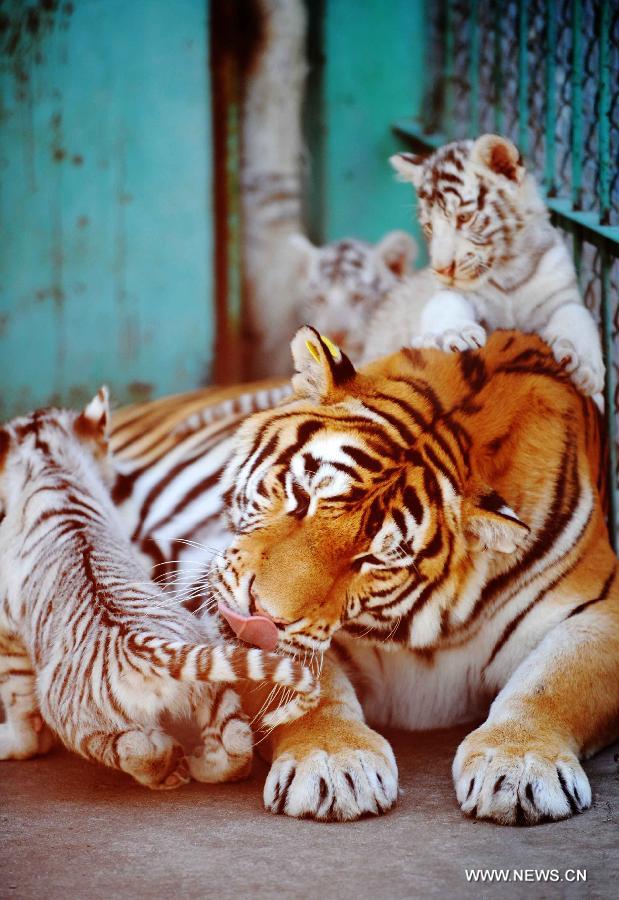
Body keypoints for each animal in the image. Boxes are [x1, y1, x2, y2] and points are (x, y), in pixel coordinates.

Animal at [0, 386, 320, 788]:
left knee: (133, 748)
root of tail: (144, 645)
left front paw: (13, 743)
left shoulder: (6, 629)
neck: (52, 468)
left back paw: (169, 767)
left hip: (79, 718)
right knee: (234, 744)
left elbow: (16, 697)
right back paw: (202, 766)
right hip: (212, 683)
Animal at [364, 134, 604, 408]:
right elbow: (447, 304)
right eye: (429, 227)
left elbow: (577, 318)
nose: (441, 269)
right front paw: (453, 334)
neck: (509, 270)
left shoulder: (561, 295)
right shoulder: (454, 294)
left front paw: (584, 368)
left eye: (464, 217)